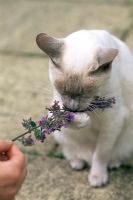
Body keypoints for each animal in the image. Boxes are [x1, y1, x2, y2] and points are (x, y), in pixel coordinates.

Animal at [35, 30, 133, 188]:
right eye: (63, 91)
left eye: (86, 93)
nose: (73, 108)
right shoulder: (58, 106)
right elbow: (68, 119)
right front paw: (82, 120)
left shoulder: (112, 121)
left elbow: (101, 154)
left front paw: (97, 177)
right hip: (61, 136)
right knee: (70, 152)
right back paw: (77, 163)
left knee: (110, 155)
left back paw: (113, 163)